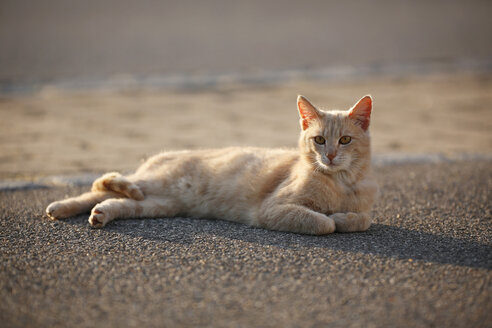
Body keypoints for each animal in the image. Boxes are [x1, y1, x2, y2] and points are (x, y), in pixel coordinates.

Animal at [45, 93, 376, 234]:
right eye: (319, 140)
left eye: (344, 140)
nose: (329, 156)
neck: (341, 184)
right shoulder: (274, 208)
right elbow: (323, 223)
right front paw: (333, 218)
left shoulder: (364, 209)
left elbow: (362, 219)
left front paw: (346, 217)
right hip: (155, 182)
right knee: (99, 185)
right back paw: (60, 207)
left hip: (159, 203)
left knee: (114, 200)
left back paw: (100, 214)